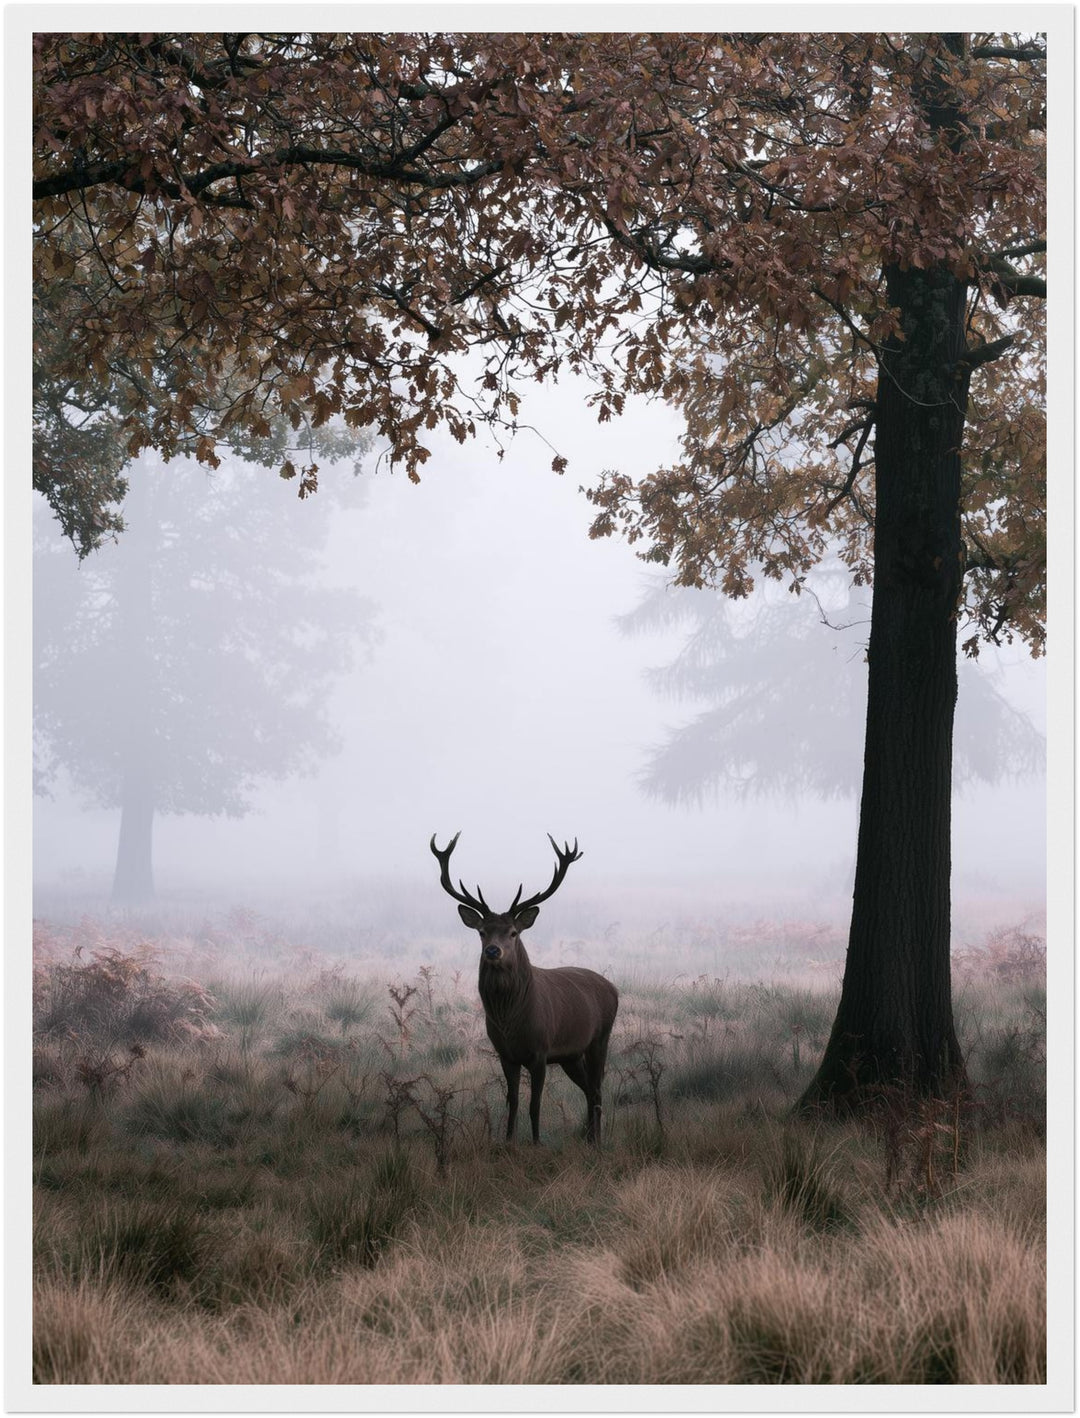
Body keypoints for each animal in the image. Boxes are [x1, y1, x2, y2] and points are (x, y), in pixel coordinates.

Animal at [430, 832, 618, 1146]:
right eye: (482, 932)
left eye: (513, 932)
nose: (493, 951)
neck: (510, 1021)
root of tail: (613, 989)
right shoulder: (506, 1054)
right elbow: (513, 1101)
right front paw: (508, 1140)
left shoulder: (540, 1051)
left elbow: (535, 1103)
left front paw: (537, 1141)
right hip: (570, 1055)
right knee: (589, 1090)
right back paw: (589, 1138)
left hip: (600, 1038)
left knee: (597, 1089)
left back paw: (597, 1141)